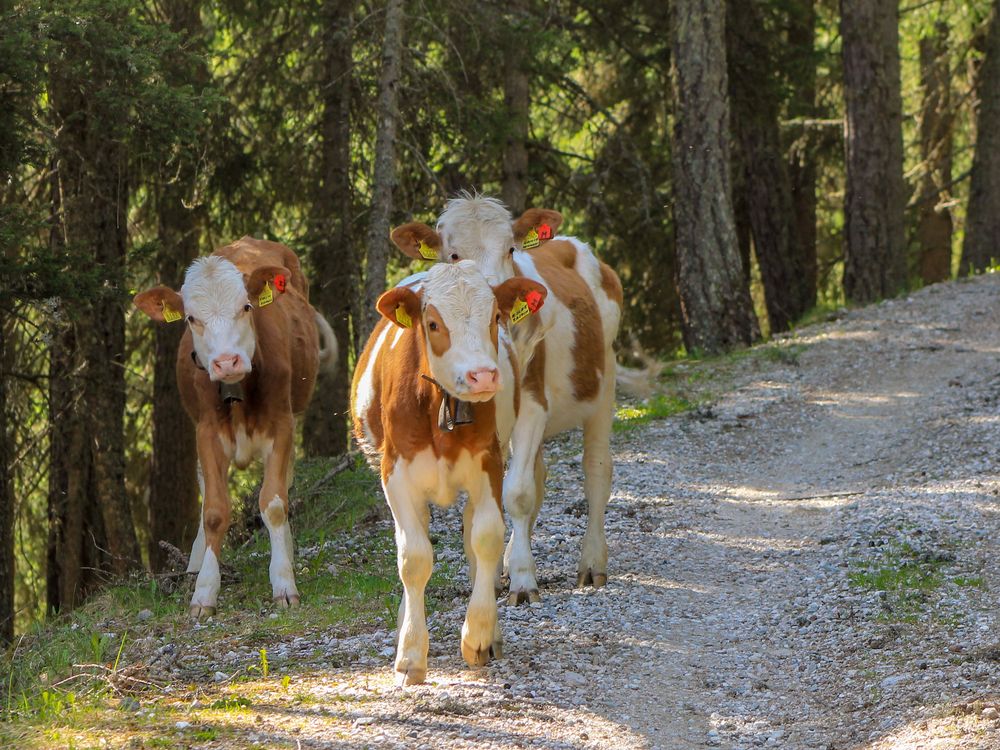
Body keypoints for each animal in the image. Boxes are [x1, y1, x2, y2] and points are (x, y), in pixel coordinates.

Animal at [133, 238, 338, 620]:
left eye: (246, 307)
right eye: (191, 318)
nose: (226, 362)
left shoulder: (282, 425)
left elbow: (274, 502)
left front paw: (283, 581)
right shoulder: (207, 433)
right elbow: (214, 512)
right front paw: (204, 591)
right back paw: (193, 565)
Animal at [350, 262, 544, 684]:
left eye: (495, 317)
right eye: (434, 323)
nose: (482, 376)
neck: (439, 404)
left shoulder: (488, 463)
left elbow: (486, 540)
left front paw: (478, 636)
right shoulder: (395, 474)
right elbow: (414, 557)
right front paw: (410, 654)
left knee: (473, 542)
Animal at [392, 194, 620, 604]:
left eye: (510, 249)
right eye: (453, 255)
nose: (496, 305)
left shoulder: (532, 404)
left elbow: (517, 492)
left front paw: (523, 580)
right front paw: (485, 577)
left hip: (603, 384)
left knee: (596, 468)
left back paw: (592, 563)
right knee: (538, 475)